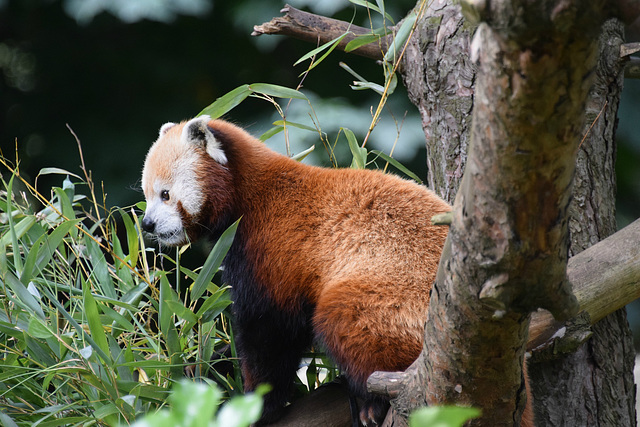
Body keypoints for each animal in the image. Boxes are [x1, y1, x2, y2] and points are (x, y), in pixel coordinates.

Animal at [142, 117, 532, 427]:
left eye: (165, 194)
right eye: (146, 195)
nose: (146, 224)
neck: (247, 198)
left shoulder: (272, 249)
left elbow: (269, 332)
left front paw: (255, 403)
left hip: (391, 299)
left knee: (345, 321)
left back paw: (373, 402)